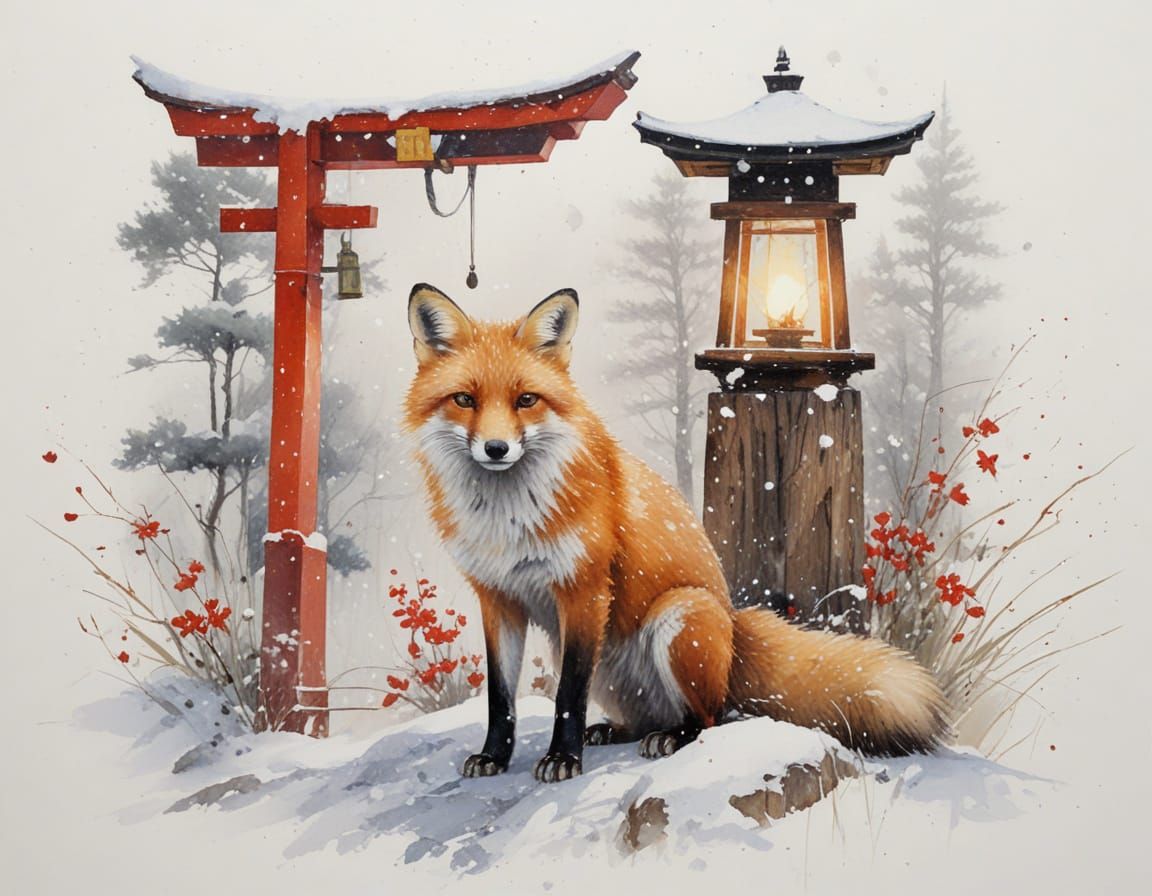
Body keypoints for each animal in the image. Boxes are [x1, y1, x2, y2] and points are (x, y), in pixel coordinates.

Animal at [403, 283, 949, 783]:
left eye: (526, 400)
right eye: (464, 400)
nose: (496, 449)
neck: (508, 520)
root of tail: (734, 630)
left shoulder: (585, 591)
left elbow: (566, 695)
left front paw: (562, 759)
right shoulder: (497, 599)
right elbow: (500, 695)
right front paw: (494, 757)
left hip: (680, 615)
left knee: (710, 718)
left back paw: (670, 736)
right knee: (650, 715)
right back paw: (617, 730)